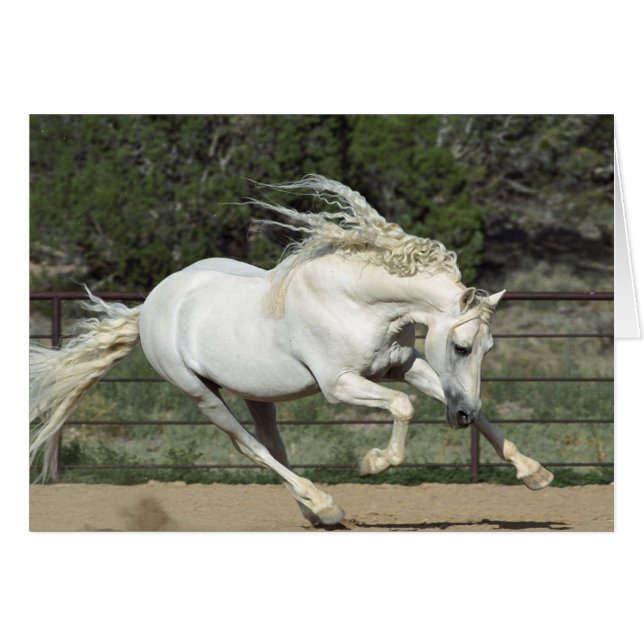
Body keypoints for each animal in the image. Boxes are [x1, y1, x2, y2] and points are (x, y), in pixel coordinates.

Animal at [29, 175, 553, 527]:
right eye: (462, 346)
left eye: (489, 347)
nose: (461, 416)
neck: (357, 300)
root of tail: (150, 307)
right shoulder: (340, 385)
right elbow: (403, 408)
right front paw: (373, 462)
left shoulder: (403, 366)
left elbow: (449, 405)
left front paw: (535, 473)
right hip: (200, 394)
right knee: (251, 447)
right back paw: (325, 504)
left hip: (256, 394)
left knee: (273, 444)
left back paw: (316, 511)